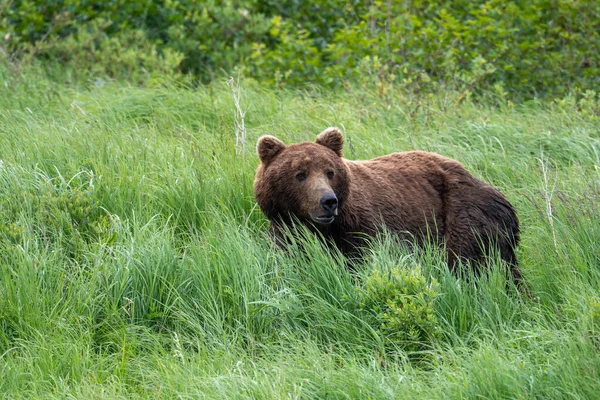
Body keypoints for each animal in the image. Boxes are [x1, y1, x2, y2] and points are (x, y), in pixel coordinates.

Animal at [252, 126, 520, 282]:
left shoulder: (364, 228)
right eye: (300, 174)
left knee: (469, 262)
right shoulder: (285, 230)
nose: (328, 201)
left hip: (465, 214)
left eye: (329, 172)